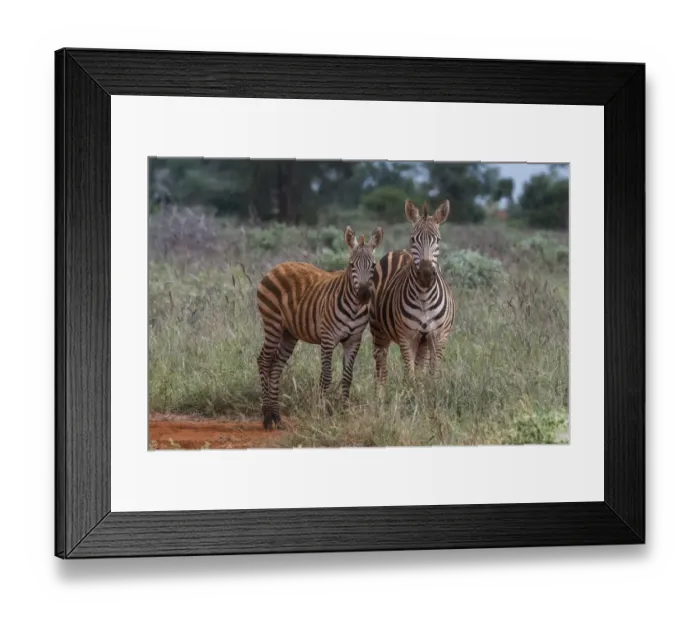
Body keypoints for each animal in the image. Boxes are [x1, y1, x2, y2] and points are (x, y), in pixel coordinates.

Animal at [256, 226, 383, 430]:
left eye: (373, 266)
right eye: (351, 265)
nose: (364, 295)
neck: (354, 308)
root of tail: (279, 265)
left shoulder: (354, 340)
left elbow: (347, 377)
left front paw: (345, 413)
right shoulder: (328, 338)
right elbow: (327, 376)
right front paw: (324, 414)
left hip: (288, 333)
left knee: (275, 366)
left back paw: (277, 417)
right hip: (272, 324)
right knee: (264, 361)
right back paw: (267, 417)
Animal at [369, 199, 455, 384]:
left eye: (438, 240)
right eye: (413, 239)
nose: (426, 274)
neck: (425, 298)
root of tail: (399, 251)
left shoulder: (438, 336)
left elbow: (430, 375)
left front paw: (429, 391)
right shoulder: (407, 337)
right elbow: (409, 376)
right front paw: (410, 392)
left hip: (422, 342)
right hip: (378, 331)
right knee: (381, 371)